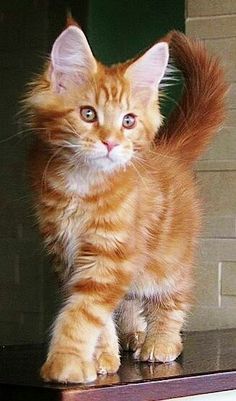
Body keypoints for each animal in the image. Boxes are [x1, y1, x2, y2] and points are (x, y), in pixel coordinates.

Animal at [24, 23, 227, 382]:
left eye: (128, 121)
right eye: (88, 114)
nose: (111, 143)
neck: (82, 184)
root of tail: (167, 151)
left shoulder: (110, 253)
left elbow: (84, 313)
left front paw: (66, 363)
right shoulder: (67, 253)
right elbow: (98, 315)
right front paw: (101, 357)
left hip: (167, 260)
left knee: (173, 298)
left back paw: (161, 342)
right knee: (131, 299)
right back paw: (133, 334)